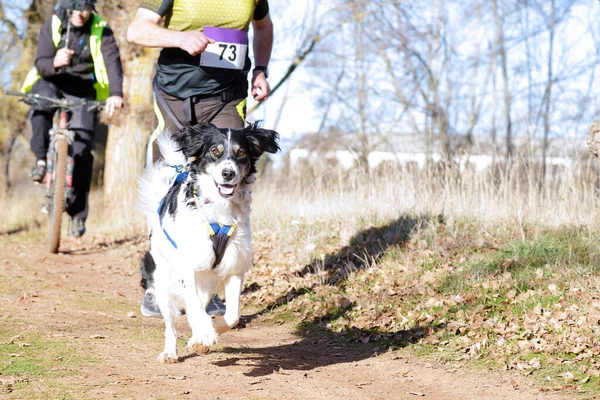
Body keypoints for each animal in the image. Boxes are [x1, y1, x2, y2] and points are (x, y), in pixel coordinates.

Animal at [139, 122, 280, 362]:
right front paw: (205, 333)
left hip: (207, 280)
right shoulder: (187, 267)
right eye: (215, 151)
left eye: (241, 153)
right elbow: (194, 306)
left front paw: (203, 337)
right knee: (171, 321)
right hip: (162, 278)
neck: (220, 211)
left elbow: (232, 316)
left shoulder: (235, 267)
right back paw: (170, 352)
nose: (228, 173)